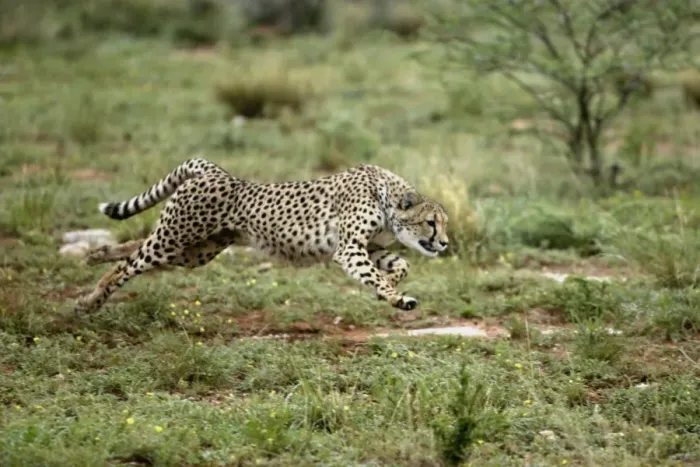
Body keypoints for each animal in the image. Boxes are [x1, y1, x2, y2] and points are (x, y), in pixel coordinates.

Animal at [74, 158, 449, 313]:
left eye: (444, 223)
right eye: (432, 223)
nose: (445, 243)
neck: (387, 196)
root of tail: (215, 171)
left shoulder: (365, 247)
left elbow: (399, 265)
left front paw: (390, 286)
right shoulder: (349, 249)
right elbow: (379, 275)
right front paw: (396, 297)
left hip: (194, 250)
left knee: (133, 249)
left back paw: (97, 256)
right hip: (175, 238)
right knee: (130, 265)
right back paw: (91, 300)